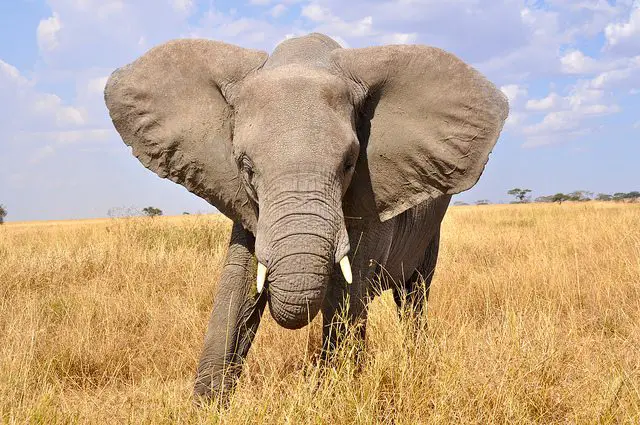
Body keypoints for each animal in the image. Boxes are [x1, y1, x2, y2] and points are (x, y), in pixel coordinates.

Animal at [102, 32, 508, 400]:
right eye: (245, 167)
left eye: (349, 163)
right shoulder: (246, 202)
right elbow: (238, 284)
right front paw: (208, 407)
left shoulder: (368, 198)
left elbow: (346, 294)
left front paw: (331, 398)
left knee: (413, 297)